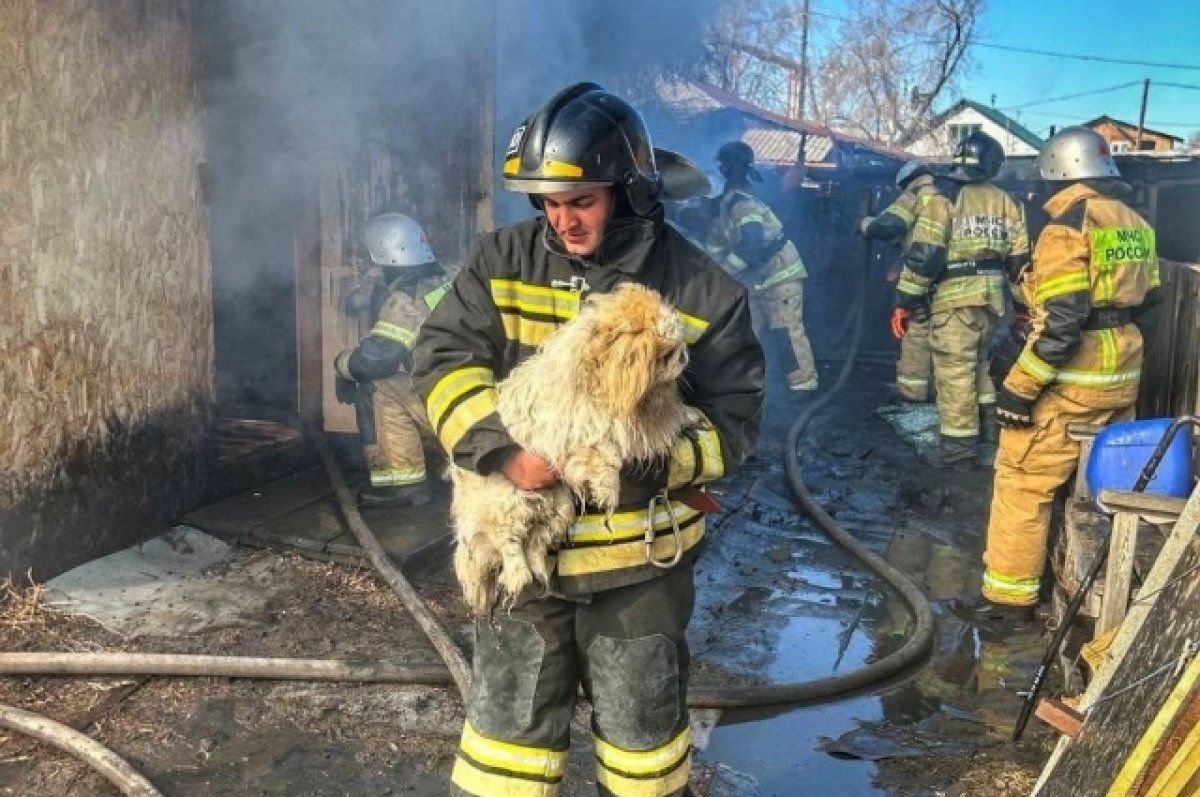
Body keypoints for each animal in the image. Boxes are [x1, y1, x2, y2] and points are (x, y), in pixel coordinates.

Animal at [451, 283, 696, 612]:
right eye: (666, 354)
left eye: (678, 347)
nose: (684, 355)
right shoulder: (581, 432)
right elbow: (599, 457)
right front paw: (608, 490)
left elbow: (668, 422)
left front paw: (691, 416)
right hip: (508, 503)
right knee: (509, 543)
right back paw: (518, 576)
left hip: (557, 506)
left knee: (535, 541)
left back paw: (535, 570)